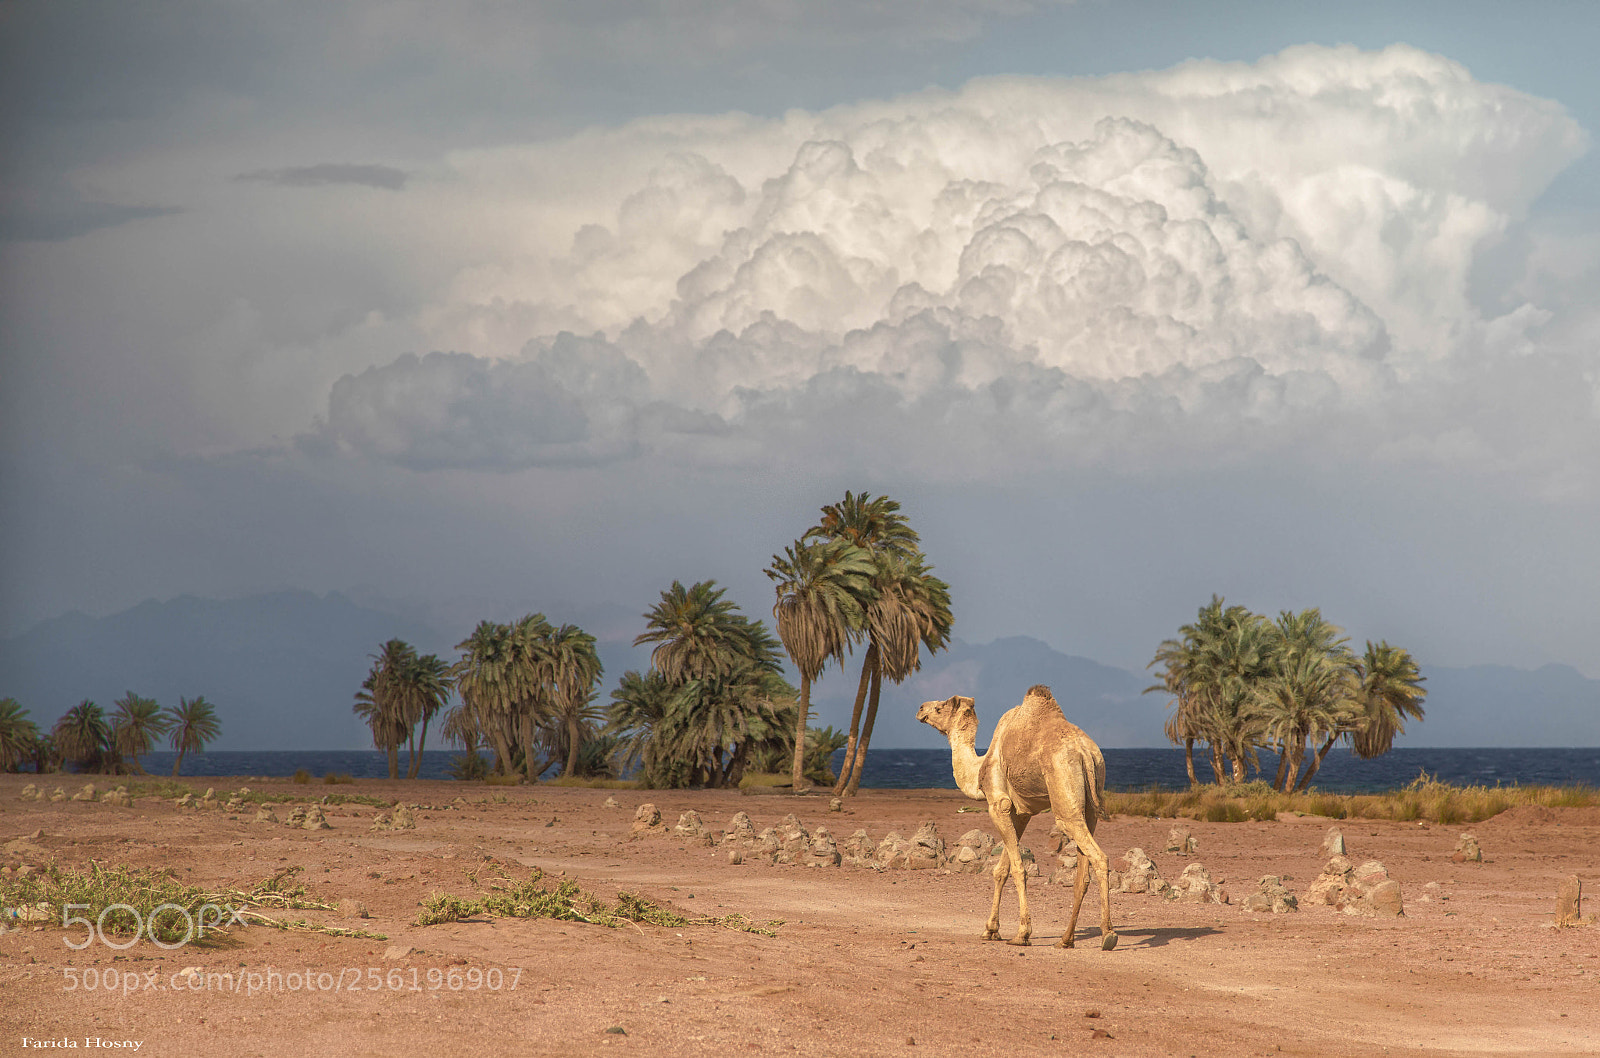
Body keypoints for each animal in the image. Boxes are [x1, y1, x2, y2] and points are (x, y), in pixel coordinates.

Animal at [917, 684, 1116, 950]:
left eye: (940, 707)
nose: (921, 708)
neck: (980, 766)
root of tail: (1085, 752)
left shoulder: (998, 805)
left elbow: (1018, 869)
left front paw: (1022, 934)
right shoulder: (1020, 814)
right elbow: (1001, 870)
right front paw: (990, 930)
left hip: (1063, 789)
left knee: (1099, 856)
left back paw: (1108, 935)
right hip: (1091, 803)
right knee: (1082, 874)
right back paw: (1065, 939)